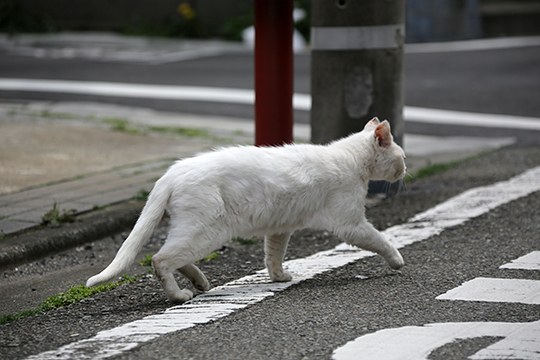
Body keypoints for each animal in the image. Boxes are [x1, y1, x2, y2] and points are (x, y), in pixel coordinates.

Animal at [87, 116, 404, 302]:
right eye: (401, 156)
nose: (404, 170)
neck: (351, 159)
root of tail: (171, 173)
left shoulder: (280, 228)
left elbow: (273, 256)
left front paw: (278, 277)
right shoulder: (351, 224)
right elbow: (381, 240)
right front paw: (397, 261)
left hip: (196, 233)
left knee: (170, 256)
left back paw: (200, 282)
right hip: (207, 231)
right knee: (160, 259)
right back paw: (180, 295)